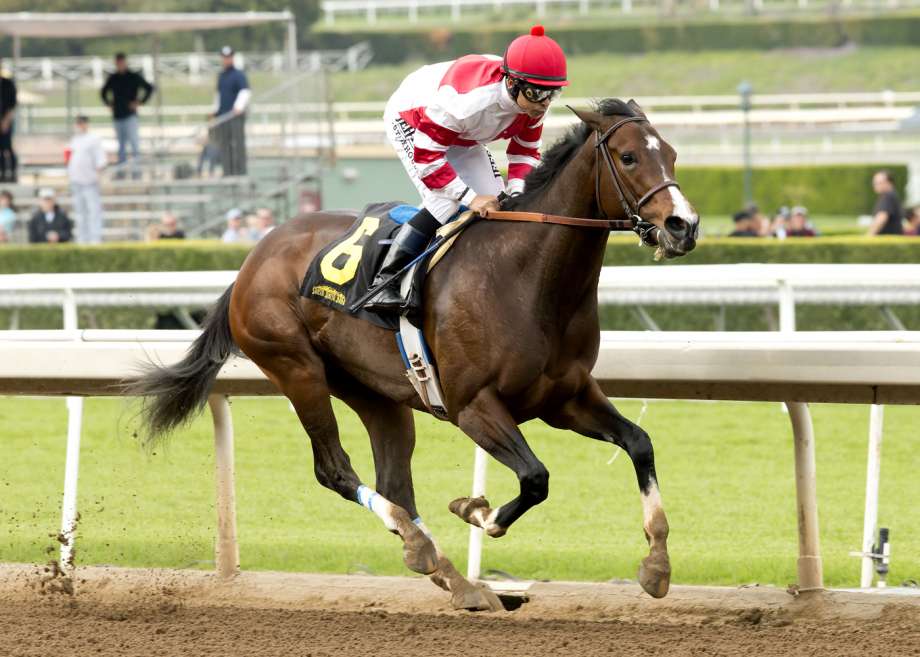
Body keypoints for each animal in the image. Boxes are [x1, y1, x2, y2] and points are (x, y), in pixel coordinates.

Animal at [131, 97, 696, 608]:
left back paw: (452, 575)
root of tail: (253, 259)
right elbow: (535, 479)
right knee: (335, 470)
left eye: (671, 154)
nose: (683, 226)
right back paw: (424, 548)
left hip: (375, 393)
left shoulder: (565, 398)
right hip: (296, 369)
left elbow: (639, 443)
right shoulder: (474, 406)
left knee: (394, 483)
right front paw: (475, 510)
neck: (525, 278)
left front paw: (656, 564)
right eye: (628, 157)